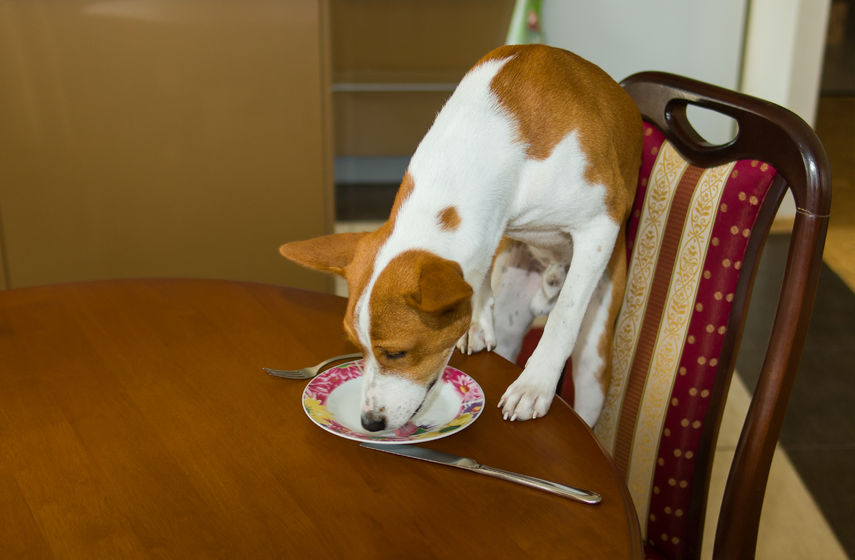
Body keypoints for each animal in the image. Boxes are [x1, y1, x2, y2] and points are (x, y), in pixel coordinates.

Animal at [280, 46, 640, 434]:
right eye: (358, 349)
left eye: (397, 353)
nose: (370, 422)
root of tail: (552, 270)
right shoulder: (492, 232)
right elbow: (476, 277)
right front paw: (477, 321)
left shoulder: (599, 224)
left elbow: (563, 317)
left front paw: (535, 384)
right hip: (513, 313)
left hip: (594, 355)